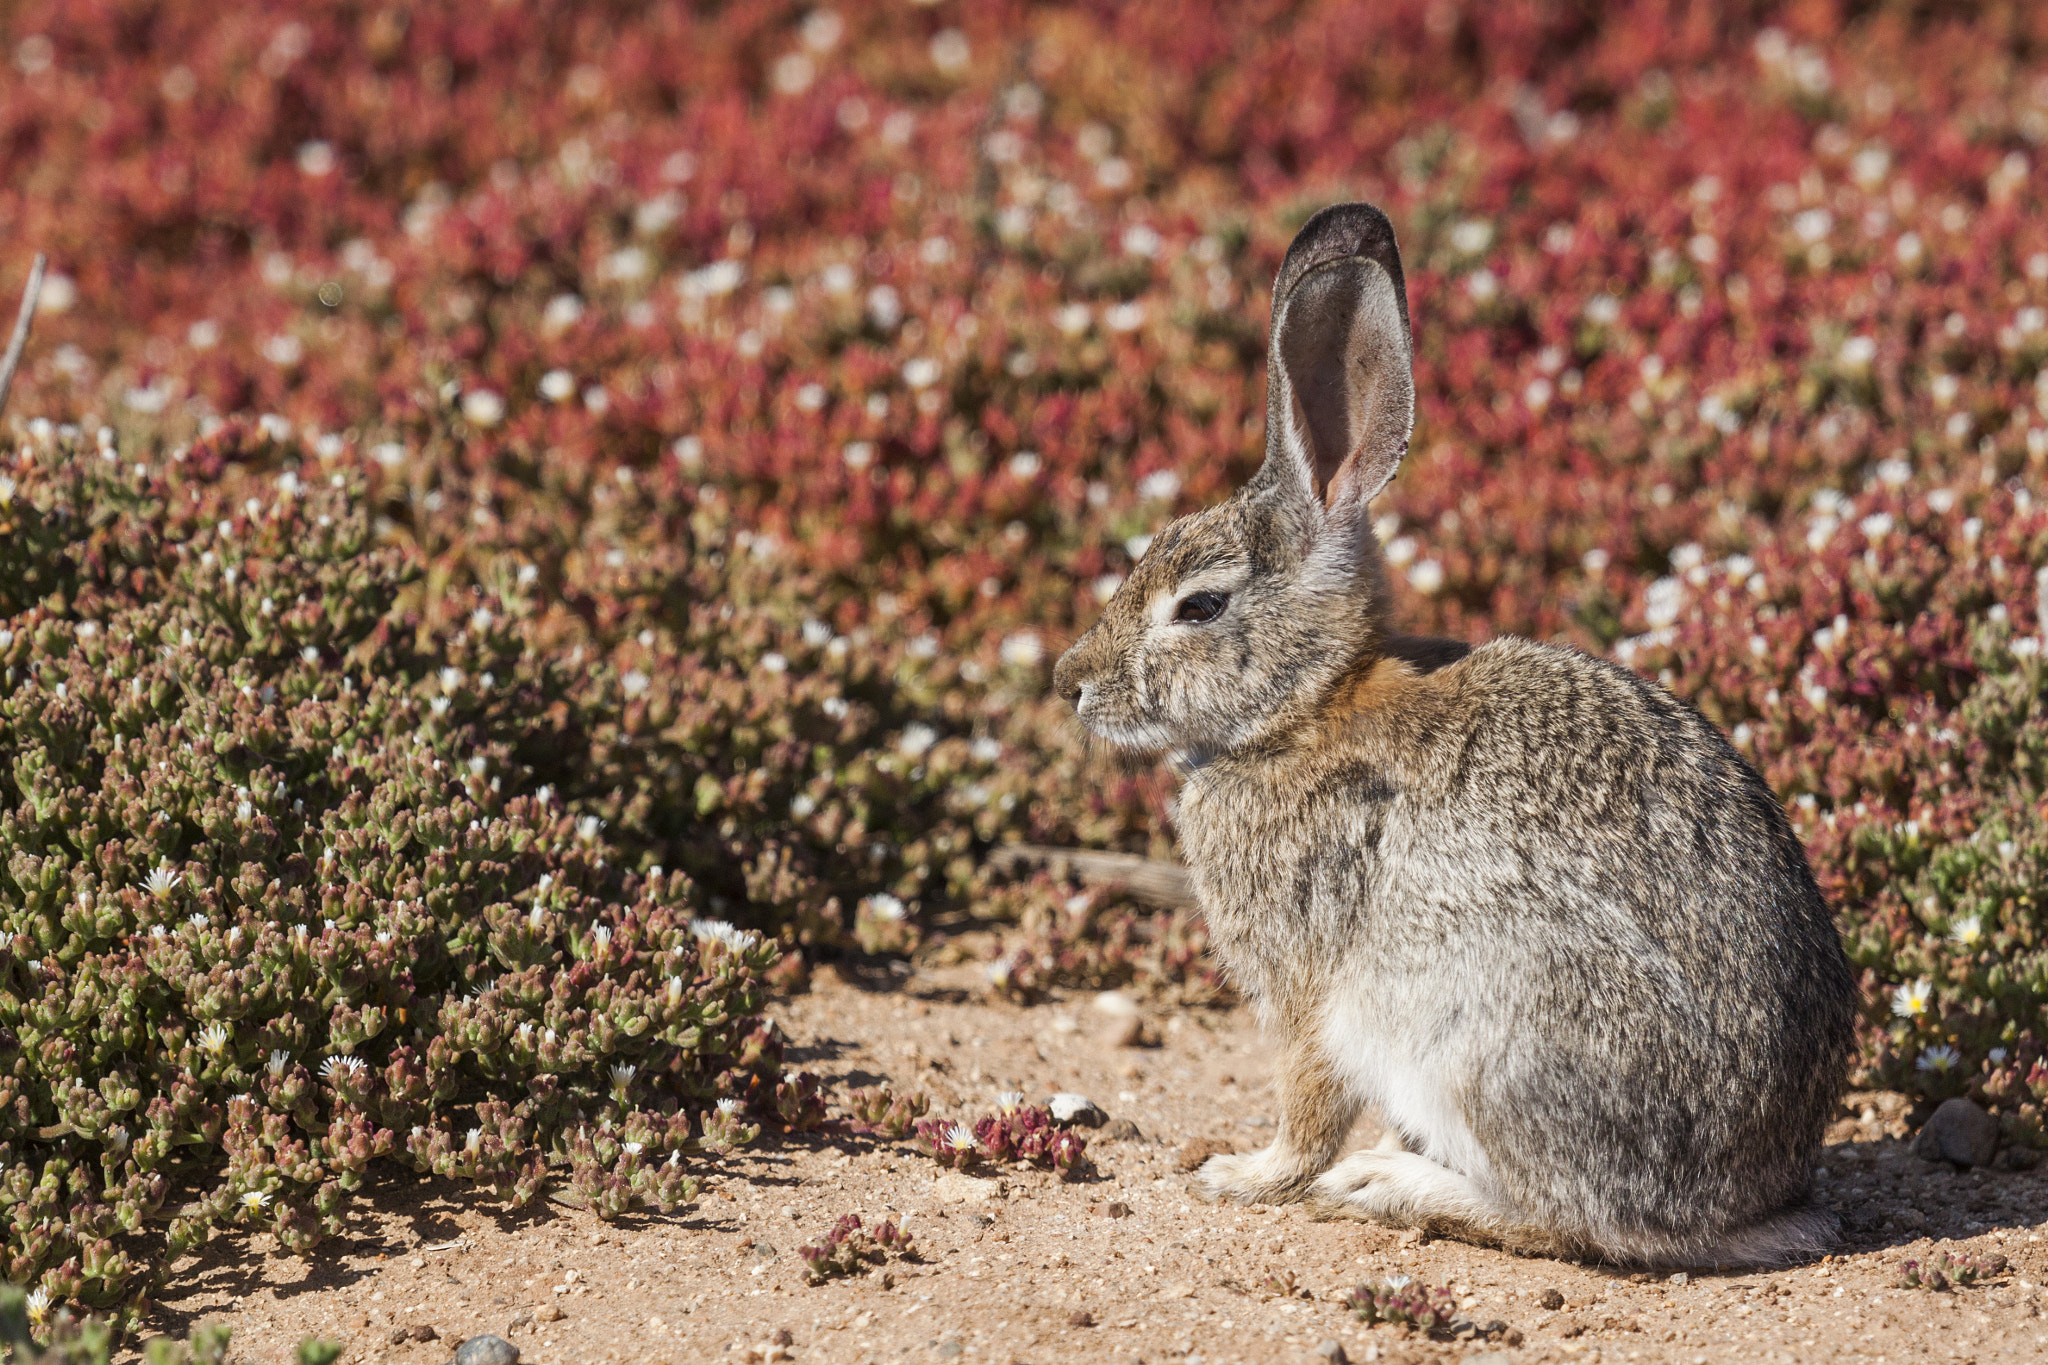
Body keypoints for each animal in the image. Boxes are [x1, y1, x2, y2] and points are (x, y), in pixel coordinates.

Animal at [1051, 203, 1856, 1267]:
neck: (1305, 707)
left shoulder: (1315, 987)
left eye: (1201, 605)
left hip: (1487, 1043)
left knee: (1565, 1218)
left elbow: (1307, 1104)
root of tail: (1744, 1205)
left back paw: (1386, 1183)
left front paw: (1245, 1174)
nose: (1071, 682)